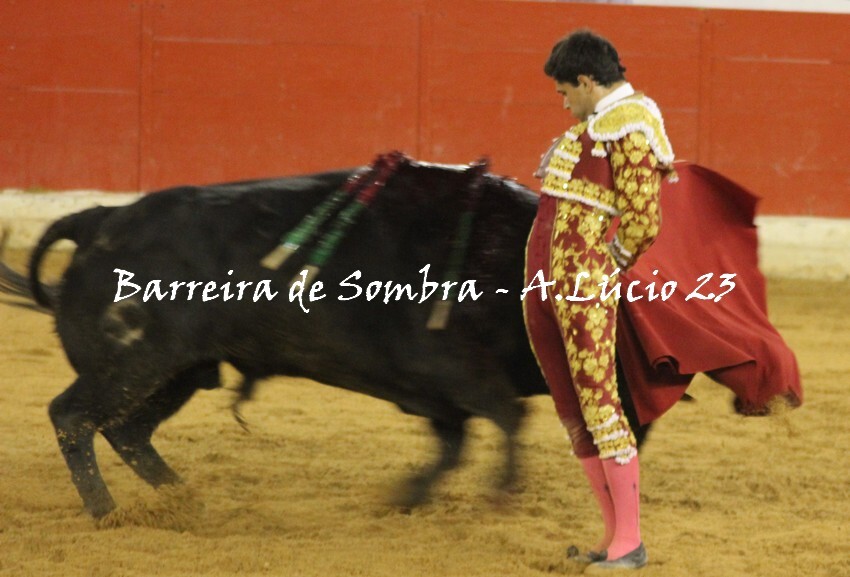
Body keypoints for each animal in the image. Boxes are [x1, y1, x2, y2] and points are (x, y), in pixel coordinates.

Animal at [0, 153, 649, 519]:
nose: (636, 432)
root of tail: (100, 218)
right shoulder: (453, 370)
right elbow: (507, 418)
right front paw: (500, 492)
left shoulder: (444, 394)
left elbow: (455, 443)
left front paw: (408, 497)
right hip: (134, 362)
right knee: (74, 418)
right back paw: (108, 512)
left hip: (178, 371)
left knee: (128, 431)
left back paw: (183, 498)